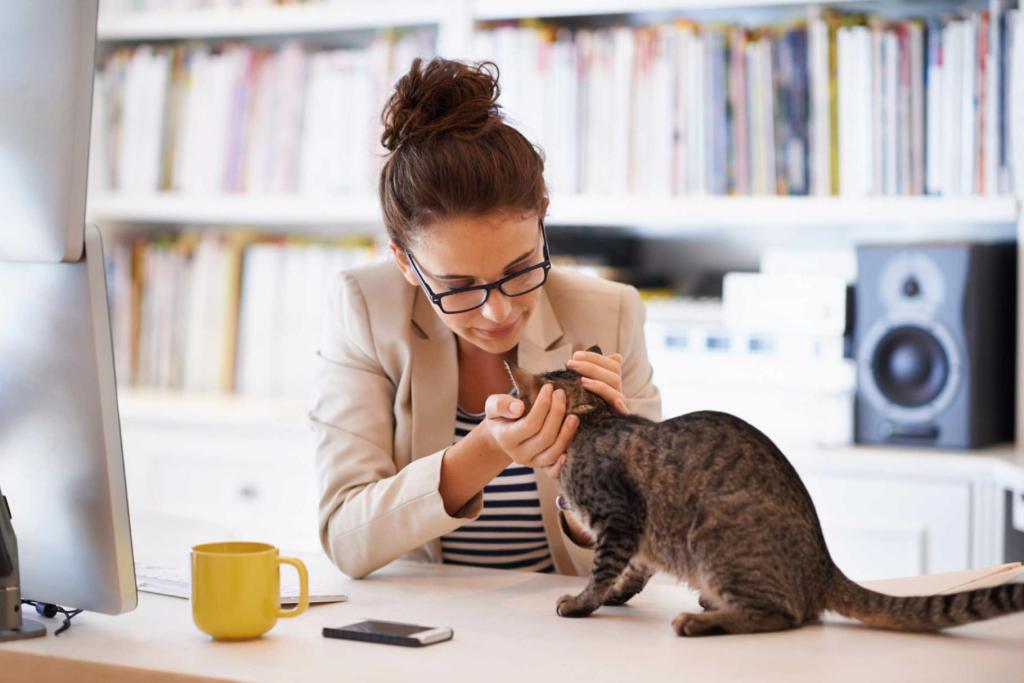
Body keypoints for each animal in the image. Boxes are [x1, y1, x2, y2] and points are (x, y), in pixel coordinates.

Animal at [503, 350, 1024, 638]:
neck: (595, 418)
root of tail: (823, 567)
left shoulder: (621, 516)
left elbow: (603, 569)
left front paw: (582, 602)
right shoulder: (642, 537)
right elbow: (633, 571)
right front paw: (614, 594)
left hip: (713, 530)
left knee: (785, 615)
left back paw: (702, 621)